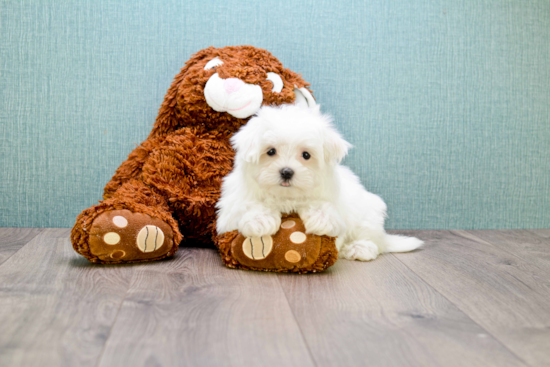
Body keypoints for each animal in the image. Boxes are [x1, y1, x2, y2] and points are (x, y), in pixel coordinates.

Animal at [218, 104, 424, 262]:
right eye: (270, 151)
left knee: (372, 239)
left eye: (306, 155)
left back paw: (359, 248)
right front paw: (260, 220)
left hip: (367, 213)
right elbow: (249, 205)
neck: (286, 197)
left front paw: (322, 218)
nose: (286, 172)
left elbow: (322, 206)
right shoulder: (230, 209)